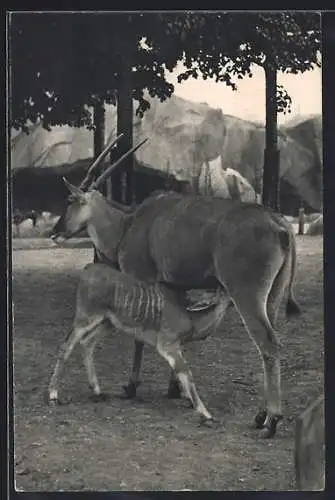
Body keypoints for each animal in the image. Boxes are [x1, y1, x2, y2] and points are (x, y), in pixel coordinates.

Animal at [51, 134, 300, 438]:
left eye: (69, 199)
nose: (55, 232)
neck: (128, 223)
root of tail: (280, 224)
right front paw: (176, 390)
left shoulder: (141, 278)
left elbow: (139, 337)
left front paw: (132, 385)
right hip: (272, 297)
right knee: (270, 344)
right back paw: (261, 414)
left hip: (247, 296)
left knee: (268, 343)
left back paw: (271, 421)